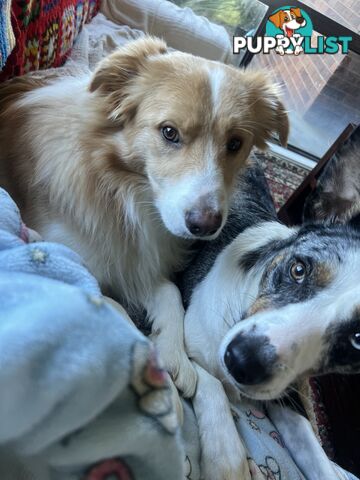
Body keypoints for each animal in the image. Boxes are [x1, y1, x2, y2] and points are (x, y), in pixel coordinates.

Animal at [0, 37, 288, 398]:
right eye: (169, 132)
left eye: (235, 143)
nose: (205, 225)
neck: (122, 192)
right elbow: (110, 302)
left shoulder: (138, 258)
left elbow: (170, 292)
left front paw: (174, 353)